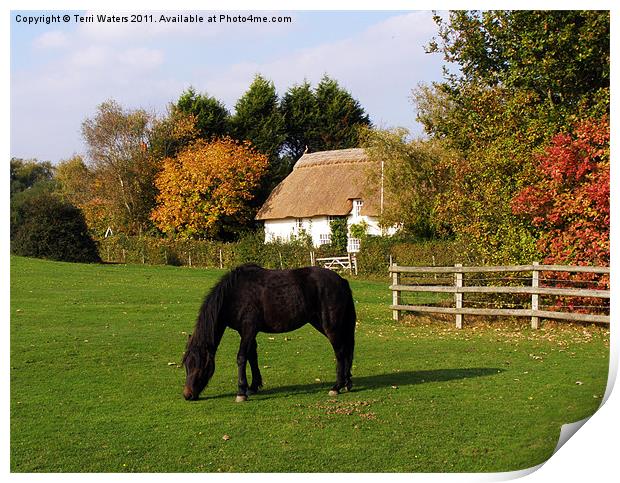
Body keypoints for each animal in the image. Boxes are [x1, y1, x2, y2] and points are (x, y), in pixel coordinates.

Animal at [182, 262, 356, 402]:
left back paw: (337, 386)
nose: (187, 395)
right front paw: (253, 386)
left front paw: (241, 392)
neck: (235, 294)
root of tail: (341, 281)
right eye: (186, 364)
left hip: (330, 326)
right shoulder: (246, 332)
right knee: (346, 350)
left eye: (200, 365)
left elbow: (241, 357)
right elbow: (252, 356)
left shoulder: (248, 328)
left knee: (340, 352)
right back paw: (347, 383)